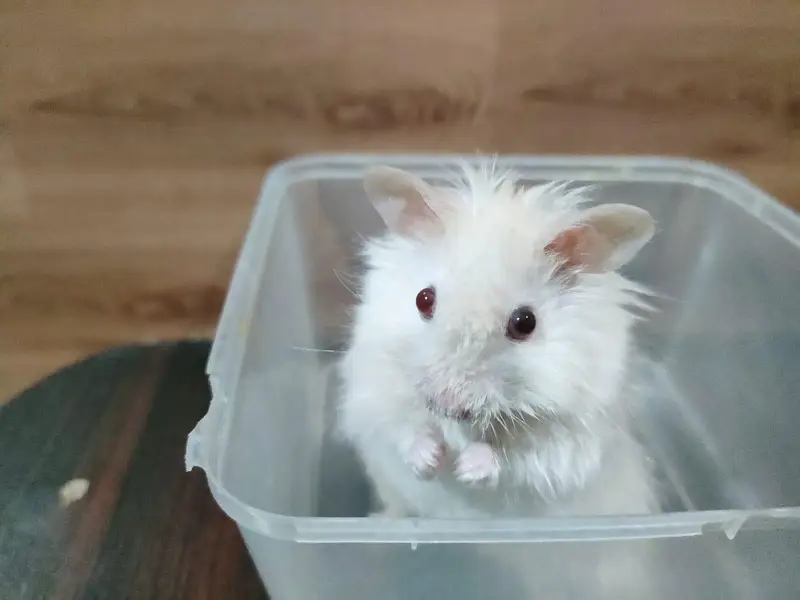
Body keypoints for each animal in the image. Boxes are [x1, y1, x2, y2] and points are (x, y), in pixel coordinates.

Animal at [338, 162, 659, 519]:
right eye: (423, 299)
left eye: (525, 322)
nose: (446, 406)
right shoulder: (373, 387)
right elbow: (401, 426)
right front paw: (431, 460)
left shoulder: (575, 434)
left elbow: (521, 456)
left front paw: (466, 467)